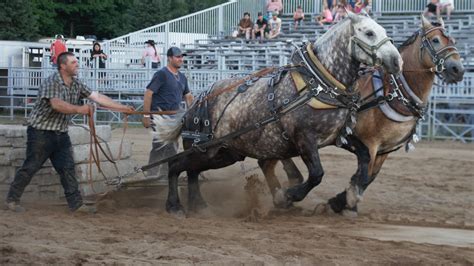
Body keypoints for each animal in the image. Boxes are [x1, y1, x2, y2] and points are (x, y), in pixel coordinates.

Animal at [156, 13, 404, 216]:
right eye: (369, 32)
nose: (397, 61)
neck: (318, 85)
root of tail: (196, 102)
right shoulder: (305, 139)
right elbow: (317, 174)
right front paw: (286, 196)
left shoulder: (337, 136)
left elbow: (364, 160)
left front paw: (351, 196)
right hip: (206, 149)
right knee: (177, 166)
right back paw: (174, 206)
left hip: (224, 154)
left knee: (192, 171)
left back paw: (198, 205)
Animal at [278, 14, 462, 215]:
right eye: (435, 40)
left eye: (454, 41)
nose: (458, 70)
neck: (392, 92)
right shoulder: (369, 144)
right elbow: (364, 175)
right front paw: (344, 202)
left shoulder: (385, 150)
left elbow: (369, 177)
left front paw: (342, 201)